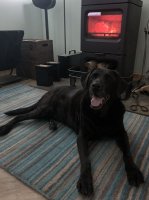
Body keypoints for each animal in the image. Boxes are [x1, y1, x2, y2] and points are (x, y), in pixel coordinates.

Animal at [0, 68, 144, 195]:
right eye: (93, 76)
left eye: (108, 78)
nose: (95, 86)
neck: (102, 115)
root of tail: (48, 92)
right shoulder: (82, 137)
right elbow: (85, 160)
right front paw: (85, 181)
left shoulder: (121, 133)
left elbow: (127, 153)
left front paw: (134, 172)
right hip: (44, 108)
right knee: (20, 116)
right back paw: (5, 128)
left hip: (48, 111)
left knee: (46, 117)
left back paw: (52, 124)